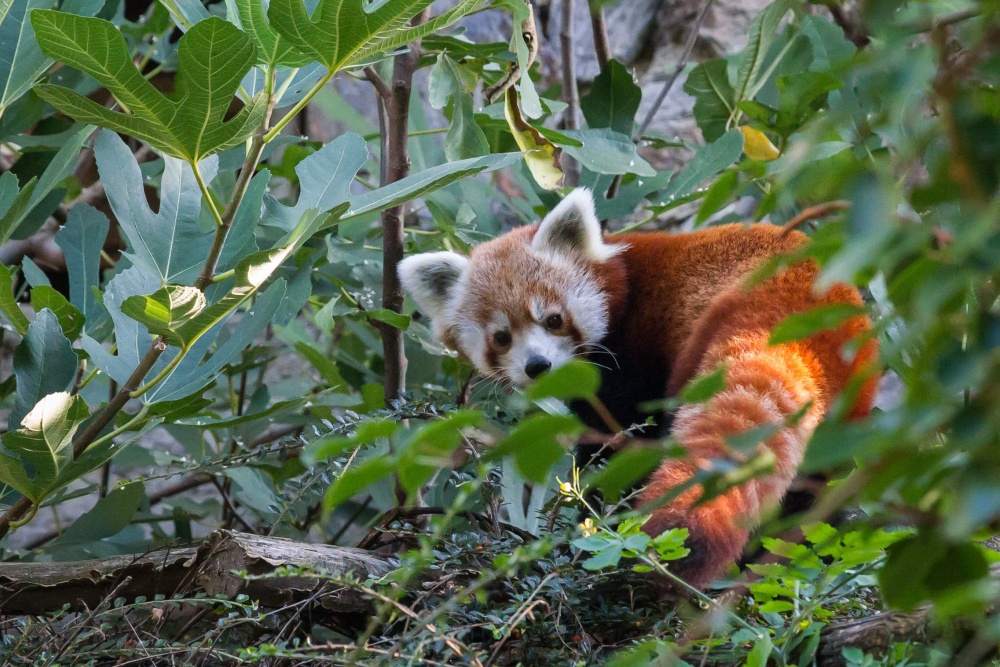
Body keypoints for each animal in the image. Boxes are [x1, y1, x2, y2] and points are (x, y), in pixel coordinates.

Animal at [396, 187, 876, 584]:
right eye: (501, 337)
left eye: (553, 319)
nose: (538, 365)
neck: (624, 282)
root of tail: (793, 311)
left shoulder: (630, 360)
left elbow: (616, 443)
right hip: (847, 405)